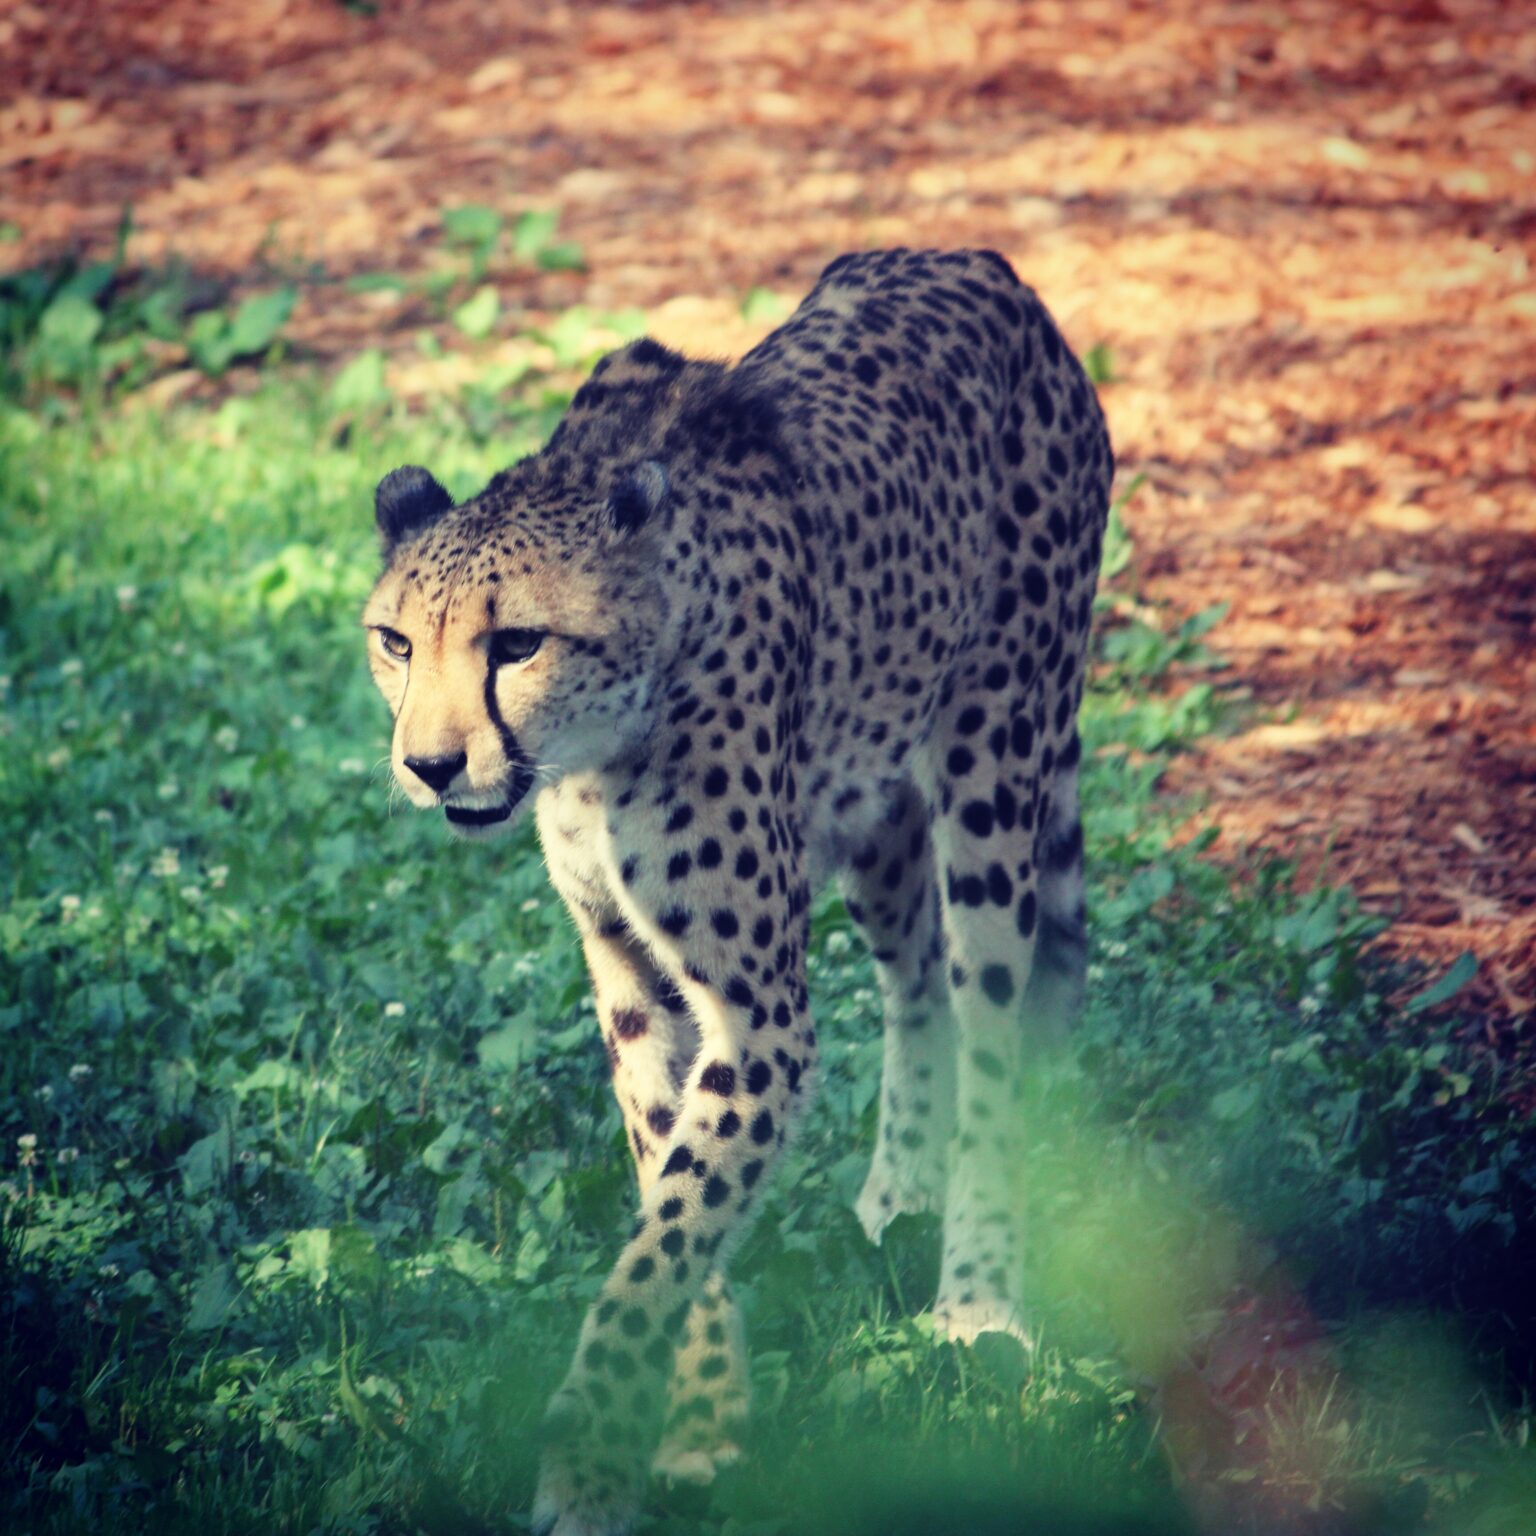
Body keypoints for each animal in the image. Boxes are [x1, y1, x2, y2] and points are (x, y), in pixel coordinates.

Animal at [361, 247, 1113, 1536]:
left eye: (516, 644)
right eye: (397, 643)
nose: (431, 765)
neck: (597, 746)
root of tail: (978, 265)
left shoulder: (759, 1011)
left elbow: (668, 1234)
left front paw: (591, 1460)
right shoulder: (634, 982)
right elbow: (673, 1197)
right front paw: (701, 1422)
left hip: (994, 761)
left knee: (992, 1023)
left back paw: (978, 1299)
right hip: (870, 805)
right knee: (916, 980)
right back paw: (893, 1201)